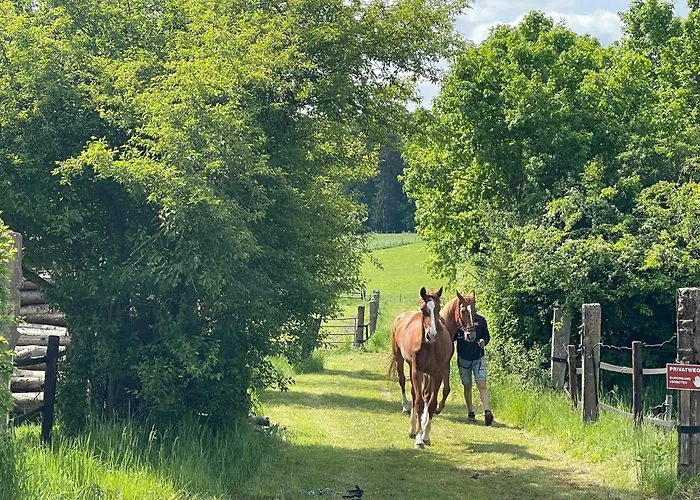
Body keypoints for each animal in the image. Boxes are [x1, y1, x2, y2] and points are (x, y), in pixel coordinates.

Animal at [388, 286, 454, 448]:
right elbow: (418, 402)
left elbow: (431, 404)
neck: (431, 346)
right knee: (404, 384)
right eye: (424, 309)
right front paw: (418, 437)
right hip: (401, 360)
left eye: (438, 308)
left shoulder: (437, 374)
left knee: (417, 394)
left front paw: (426, 435)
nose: (432, 335)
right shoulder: (417, 371)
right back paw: (407, 413)